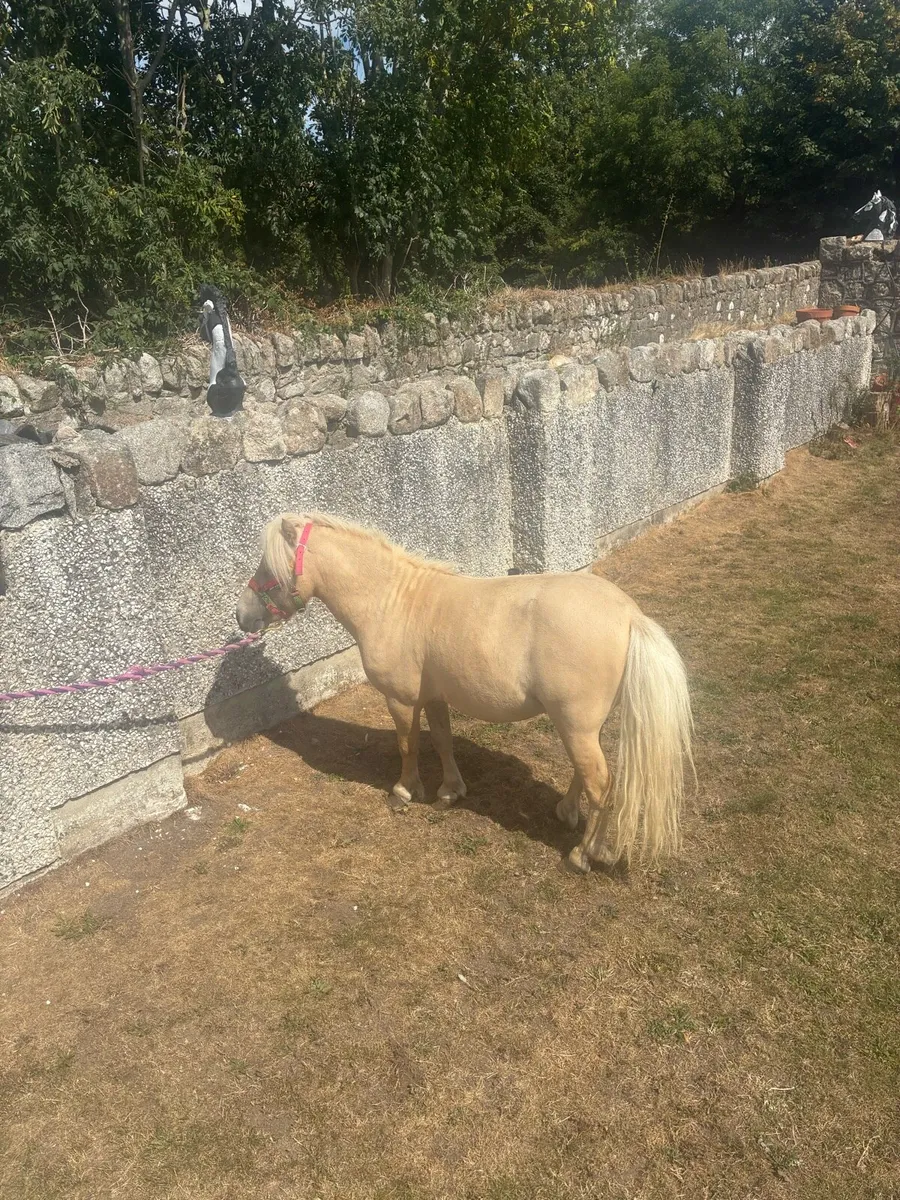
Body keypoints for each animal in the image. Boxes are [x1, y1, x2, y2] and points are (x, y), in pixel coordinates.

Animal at [235, 513, 694, 874]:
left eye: (268, 567)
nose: (242, 616)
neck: (391, 602)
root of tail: (630, 615)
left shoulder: (401, 700)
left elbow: (407, 746)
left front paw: (404, 793)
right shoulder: (434, 697)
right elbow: (442, 741)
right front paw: (450, 792)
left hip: (576, 725)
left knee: (600, 783)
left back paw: (582, 855)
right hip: (579, 726)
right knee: (587, 774)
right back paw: (568, 815)